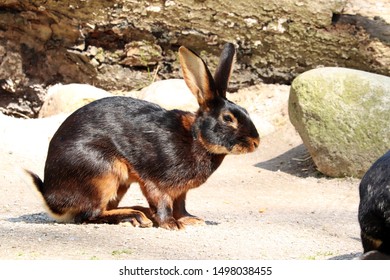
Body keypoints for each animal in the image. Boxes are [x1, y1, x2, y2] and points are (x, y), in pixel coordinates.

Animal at [25, 42, 260, 230]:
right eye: (228, 118)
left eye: (245, 111)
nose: (255, 142)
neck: (196, 138)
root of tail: (52, 200)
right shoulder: (156, 182)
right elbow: (163, 204)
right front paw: (172, 225)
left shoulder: (181, 192)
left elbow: (181, 206)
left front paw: (191, 220)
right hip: (104, 174)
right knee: (91, 214)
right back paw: (135, 216)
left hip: (120, 183)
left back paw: (141, 213)